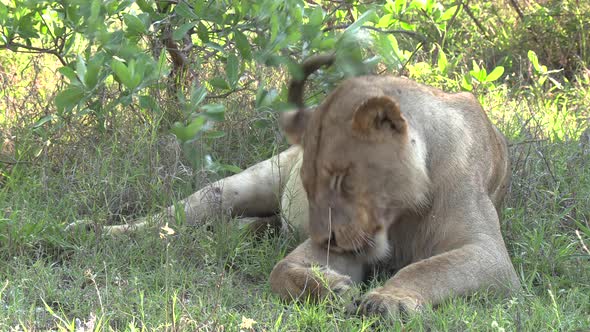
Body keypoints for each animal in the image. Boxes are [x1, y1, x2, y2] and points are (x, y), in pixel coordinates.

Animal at [69, 54, 520, 320]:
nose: (328, 237)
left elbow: (429, 267)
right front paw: (334, 289)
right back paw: (95, 231)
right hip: (243, 183)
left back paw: (244, 232)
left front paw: (388, 300)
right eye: (309, 182)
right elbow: (282, 270)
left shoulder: (488, 253)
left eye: (343, 178)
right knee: (176, 215)